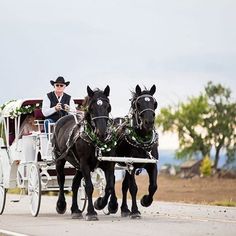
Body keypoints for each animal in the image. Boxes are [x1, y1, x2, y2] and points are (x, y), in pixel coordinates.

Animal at [53, 85, 116, 220]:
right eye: (91, 108)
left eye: (108, 107)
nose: (101, 133)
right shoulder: (84, 163)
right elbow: (89, 187)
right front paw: (91, 212)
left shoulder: (108, 164)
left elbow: (109, 186)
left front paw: (100, 203)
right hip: (60, 159)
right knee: (61, 180)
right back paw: (61, 205)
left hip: (78, 166)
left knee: (75, 184)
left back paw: (75, 210)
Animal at [109, 84, 159, 218]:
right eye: (138, 104)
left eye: (155, 103)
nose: (149, 123)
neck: (143, 141)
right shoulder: (131, 164)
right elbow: (133, 188)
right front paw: (135, 211)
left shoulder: (152, 164)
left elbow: (153, 186)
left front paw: (145, 201)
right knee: (113, 181)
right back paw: (113, 205)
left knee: (123, 185)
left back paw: (125, 209)